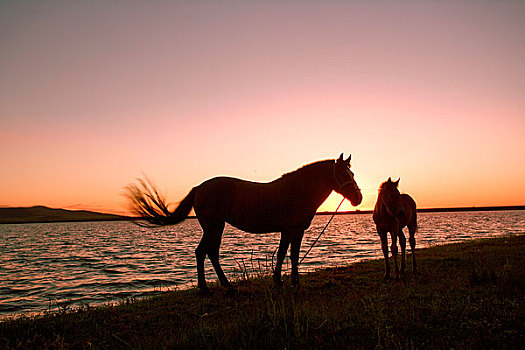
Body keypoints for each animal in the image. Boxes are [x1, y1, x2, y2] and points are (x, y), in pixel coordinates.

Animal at [125, 154, 360, 292]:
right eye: (343, 173)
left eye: (352, 172)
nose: (358, 198)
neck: (297, 191)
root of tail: (199, 187)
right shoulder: (292, 230)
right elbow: (289, 255)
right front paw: (290, 282)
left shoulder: (290, 231)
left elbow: (285, 255)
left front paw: (282, 280)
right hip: (214, 227)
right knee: (207, 252)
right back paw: (217, 287)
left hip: (214, 227)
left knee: (205, 252)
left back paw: (214, 286)